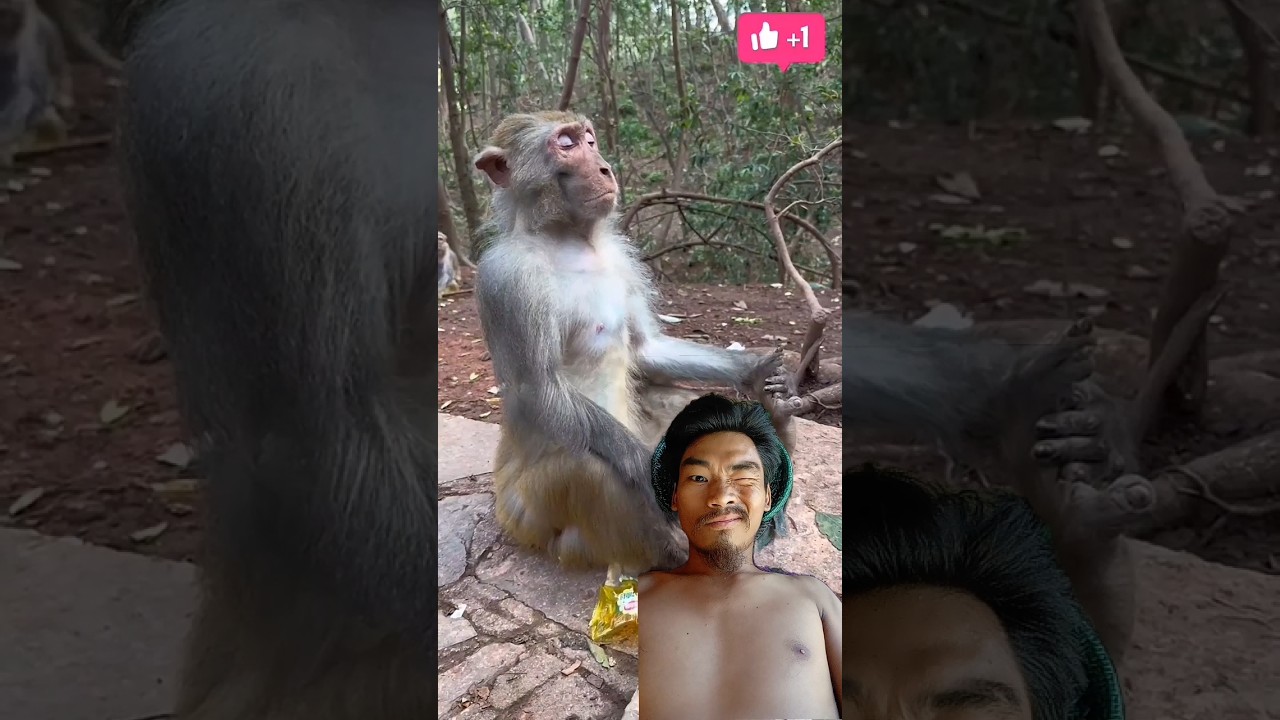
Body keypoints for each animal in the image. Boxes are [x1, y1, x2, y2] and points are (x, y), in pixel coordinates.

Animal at [471, 110, 783, 584]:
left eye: (589, 138)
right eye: (566, 144)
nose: (604, 168)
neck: (566, 239)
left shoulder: (623, 257)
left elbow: (645, 348)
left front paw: (755, 369)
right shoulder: (507, 277)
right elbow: (540, 390)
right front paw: (649, 469)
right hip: (530, 517)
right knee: (588, 468)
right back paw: (673, 553)